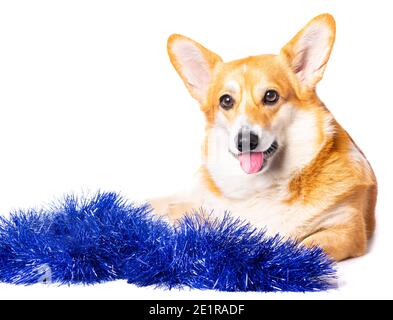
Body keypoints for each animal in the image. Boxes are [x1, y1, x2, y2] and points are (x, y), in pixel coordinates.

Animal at [149, 13, 376, 262]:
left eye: (271, 96)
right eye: (226, 101)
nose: (245, 141)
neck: (264, 187)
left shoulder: (346, 228)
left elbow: (303, 246)